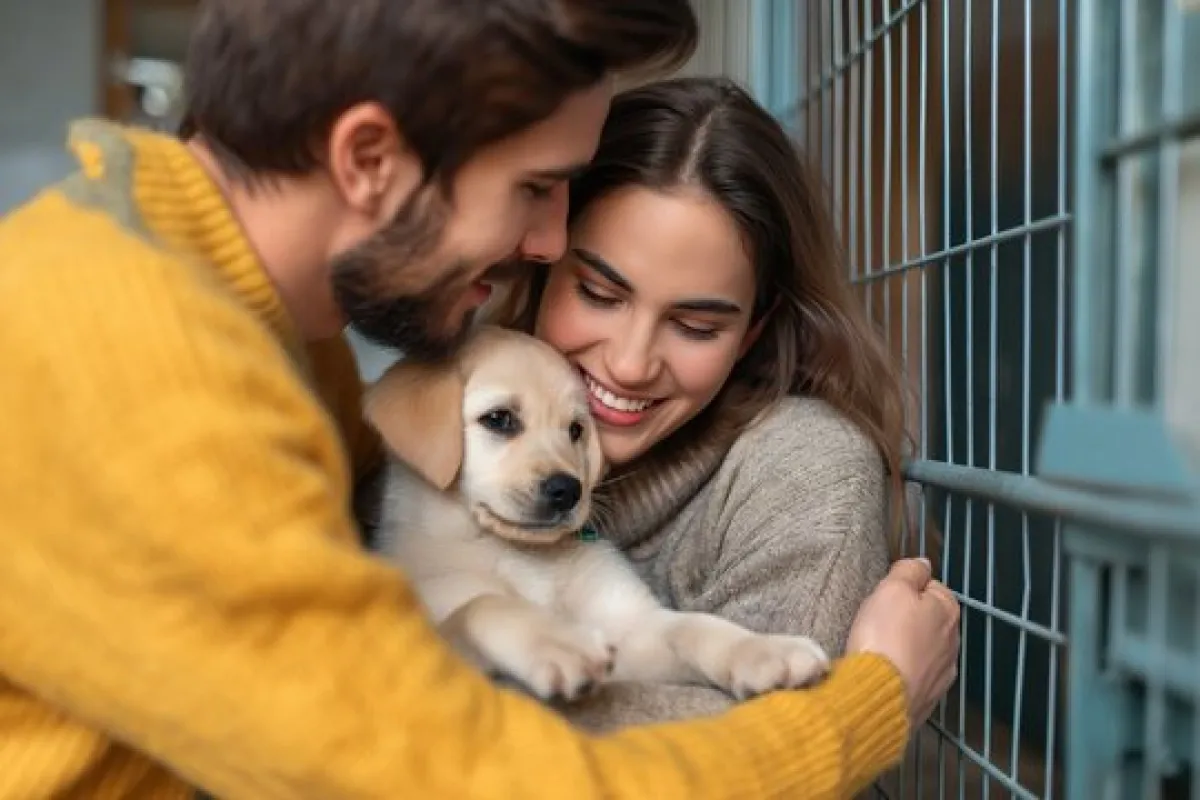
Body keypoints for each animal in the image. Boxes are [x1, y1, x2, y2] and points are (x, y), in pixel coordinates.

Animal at [367, 326, 835, 700]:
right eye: (499, 419)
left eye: (575, 430)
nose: (567, 490)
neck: (523, 553)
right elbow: (484, 605)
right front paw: (558, 640)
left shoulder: (632, 627)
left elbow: (694, 626)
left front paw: (764, 648)